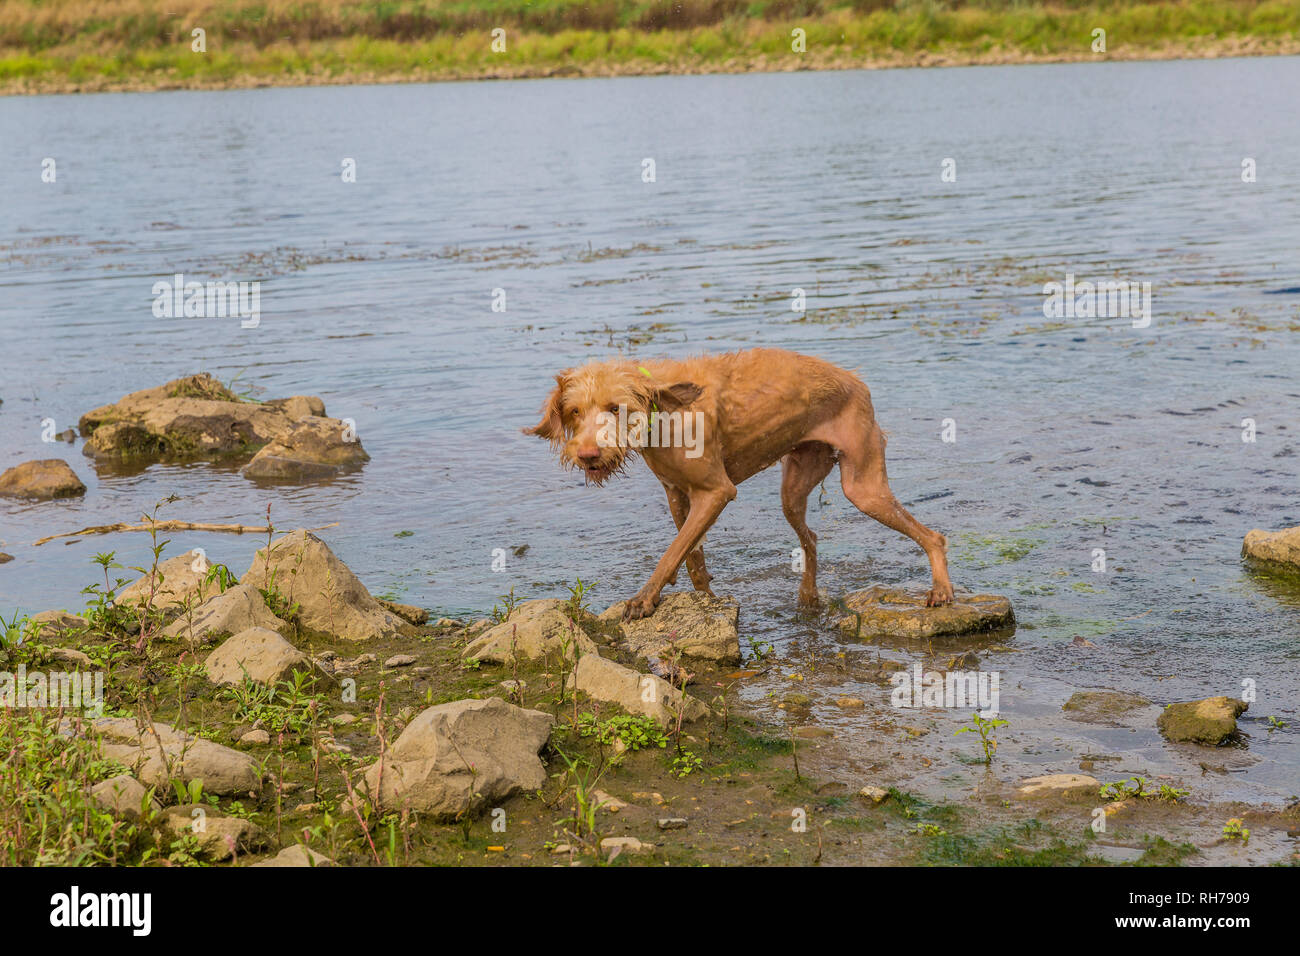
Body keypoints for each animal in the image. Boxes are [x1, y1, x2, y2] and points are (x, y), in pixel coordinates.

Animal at [522, 348, 951, 624]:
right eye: (574, 411)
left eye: (615, 408)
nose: (588, 455)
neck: (664, 413)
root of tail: (858, 381)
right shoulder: (677, 495)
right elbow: (691, 556)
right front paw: (705, 598)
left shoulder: (716, 492)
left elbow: (672, 551)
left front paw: (644, 599)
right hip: (795, 487)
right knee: (810, 537)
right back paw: (808, 597)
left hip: (864, 487)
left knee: (933, 536)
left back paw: (942, 589)